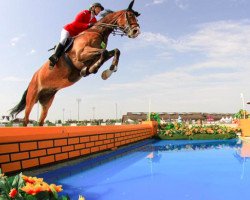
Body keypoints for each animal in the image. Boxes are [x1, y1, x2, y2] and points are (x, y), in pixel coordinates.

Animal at [9, 0, 141, 126]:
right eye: (129, 16)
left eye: (136, 17)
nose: (136, 31)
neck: (98, 32)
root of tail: (33, 77)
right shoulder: (80, 54)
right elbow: (103, 53)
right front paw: (95, 70)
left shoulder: (94, 55)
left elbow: (115, 51)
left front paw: (105, 71)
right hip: (31, 98)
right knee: (26, 119)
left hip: (47, 101)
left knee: (41, 121)